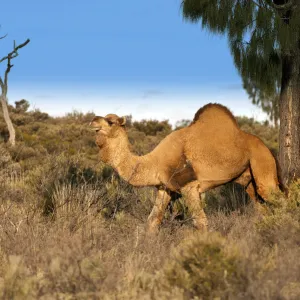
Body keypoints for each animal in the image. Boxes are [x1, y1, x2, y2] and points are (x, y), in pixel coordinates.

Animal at [90, 103, 280, 234]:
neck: (154, 162)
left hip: (262, 162)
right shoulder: (165, 188)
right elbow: (152, 221)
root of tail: (264, 145)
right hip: (248, 181)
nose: (93, 120)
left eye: (111, 121)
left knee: (277, 197)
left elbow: (200, 222)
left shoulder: (190, 186)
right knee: (263, 208)